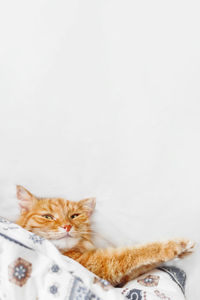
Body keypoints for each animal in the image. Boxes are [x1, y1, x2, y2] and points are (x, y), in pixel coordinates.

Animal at [15, 185, 194, 286]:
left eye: (74, 216)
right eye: (47, 217)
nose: (67, 226)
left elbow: (140, 267)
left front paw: (181, 254)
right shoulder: (101, 265)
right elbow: (135, 253)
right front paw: (176, 246)